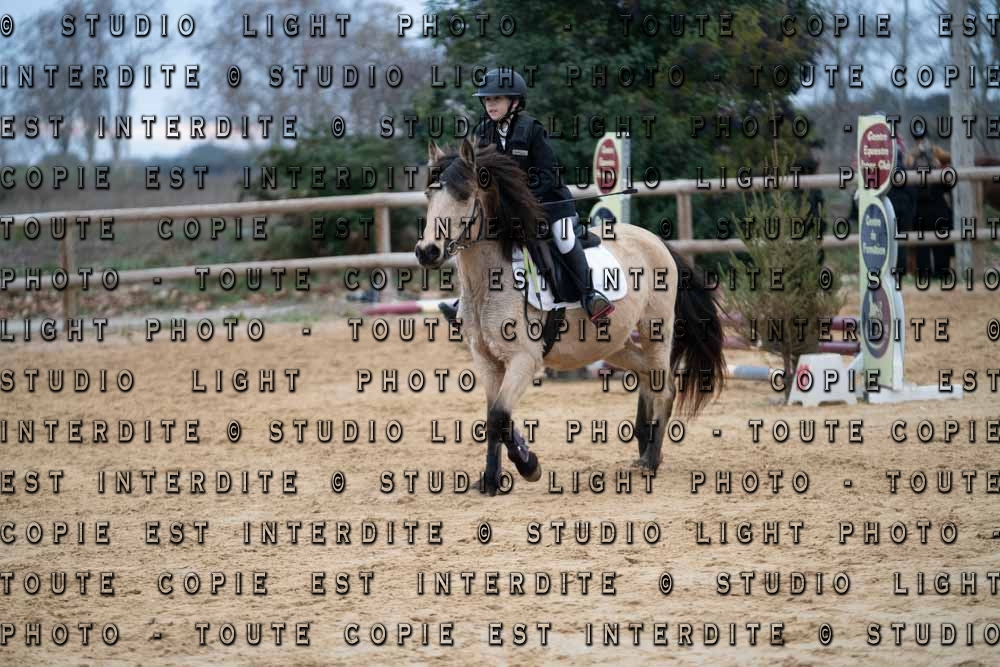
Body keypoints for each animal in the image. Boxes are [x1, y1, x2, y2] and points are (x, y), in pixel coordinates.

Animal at [414, 139, 727, 496]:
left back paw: (651, 459)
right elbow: (495, 418)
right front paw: (493, 479)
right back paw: (646, 448)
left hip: (655, 330)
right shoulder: (486, 359)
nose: (427, 252)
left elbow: (499, 416)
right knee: (647, 375)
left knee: (665, 385)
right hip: (613, 343)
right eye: (428, 195)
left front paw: (528, 467)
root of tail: (658, 241)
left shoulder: (525, 358)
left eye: (464, 196)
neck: (489, 282)